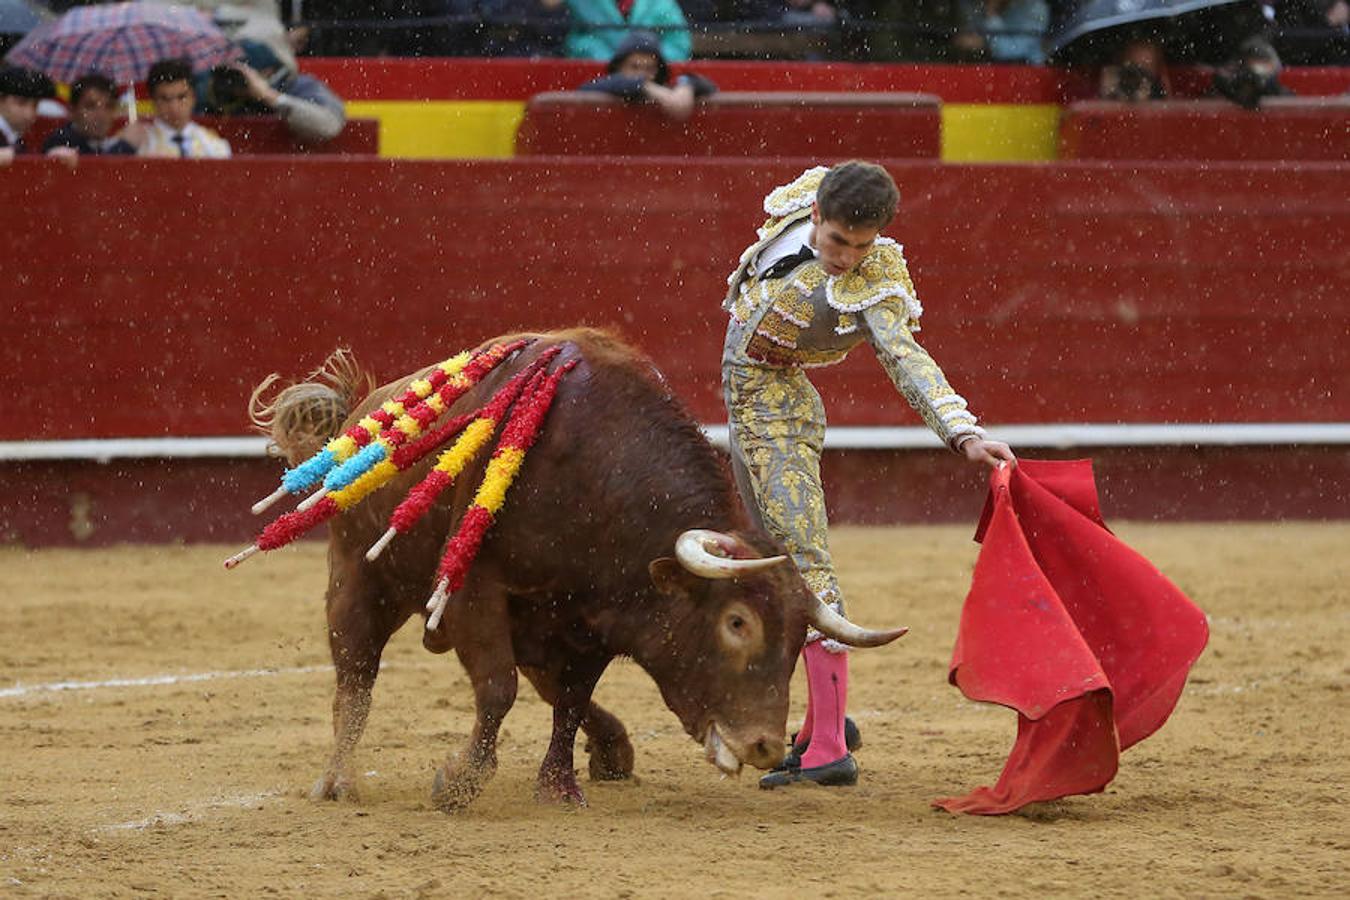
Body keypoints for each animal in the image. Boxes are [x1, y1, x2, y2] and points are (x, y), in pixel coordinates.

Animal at [255, 329, 907, 809]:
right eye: (737, 622)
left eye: (799, 638)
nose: (767, 746)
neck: (599, 475)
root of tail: (358, 412)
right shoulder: (475, 592)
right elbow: (498, 688)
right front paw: (458, 784)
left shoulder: (594, 616)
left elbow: (569, 698)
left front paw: (559, 785)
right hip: (358, 580)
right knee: (356, 676)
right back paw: (337, 781)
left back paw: (614, 751)